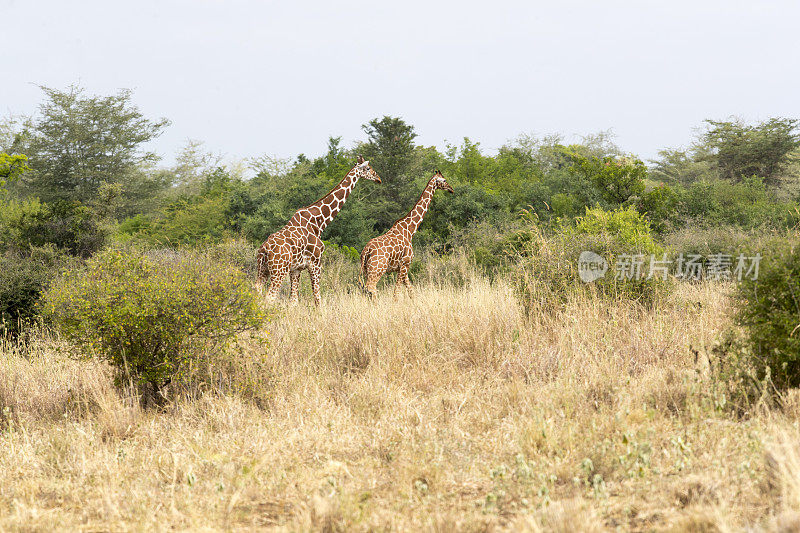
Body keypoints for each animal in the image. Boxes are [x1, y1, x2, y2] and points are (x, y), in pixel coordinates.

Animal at [256, 156, 382, 306]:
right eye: (368, 168)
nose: (379, 179)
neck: (319, 222)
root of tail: (264, 249)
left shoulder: (296, 269)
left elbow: (294, 301)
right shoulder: (316, 263)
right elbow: (317, 298)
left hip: (262, 270)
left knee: (256, 291)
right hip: (279, 271)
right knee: (270, 297)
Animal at [360, 170, 454, 298]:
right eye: (444, 180)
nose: (451, 189)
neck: (410, 230)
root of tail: (366, 250)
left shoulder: (402, 268)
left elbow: (411, 291)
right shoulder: (405, 264)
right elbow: (396, 293)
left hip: (366, 270)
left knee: (366, 291)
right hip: (377, 269)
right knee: (371, 289)